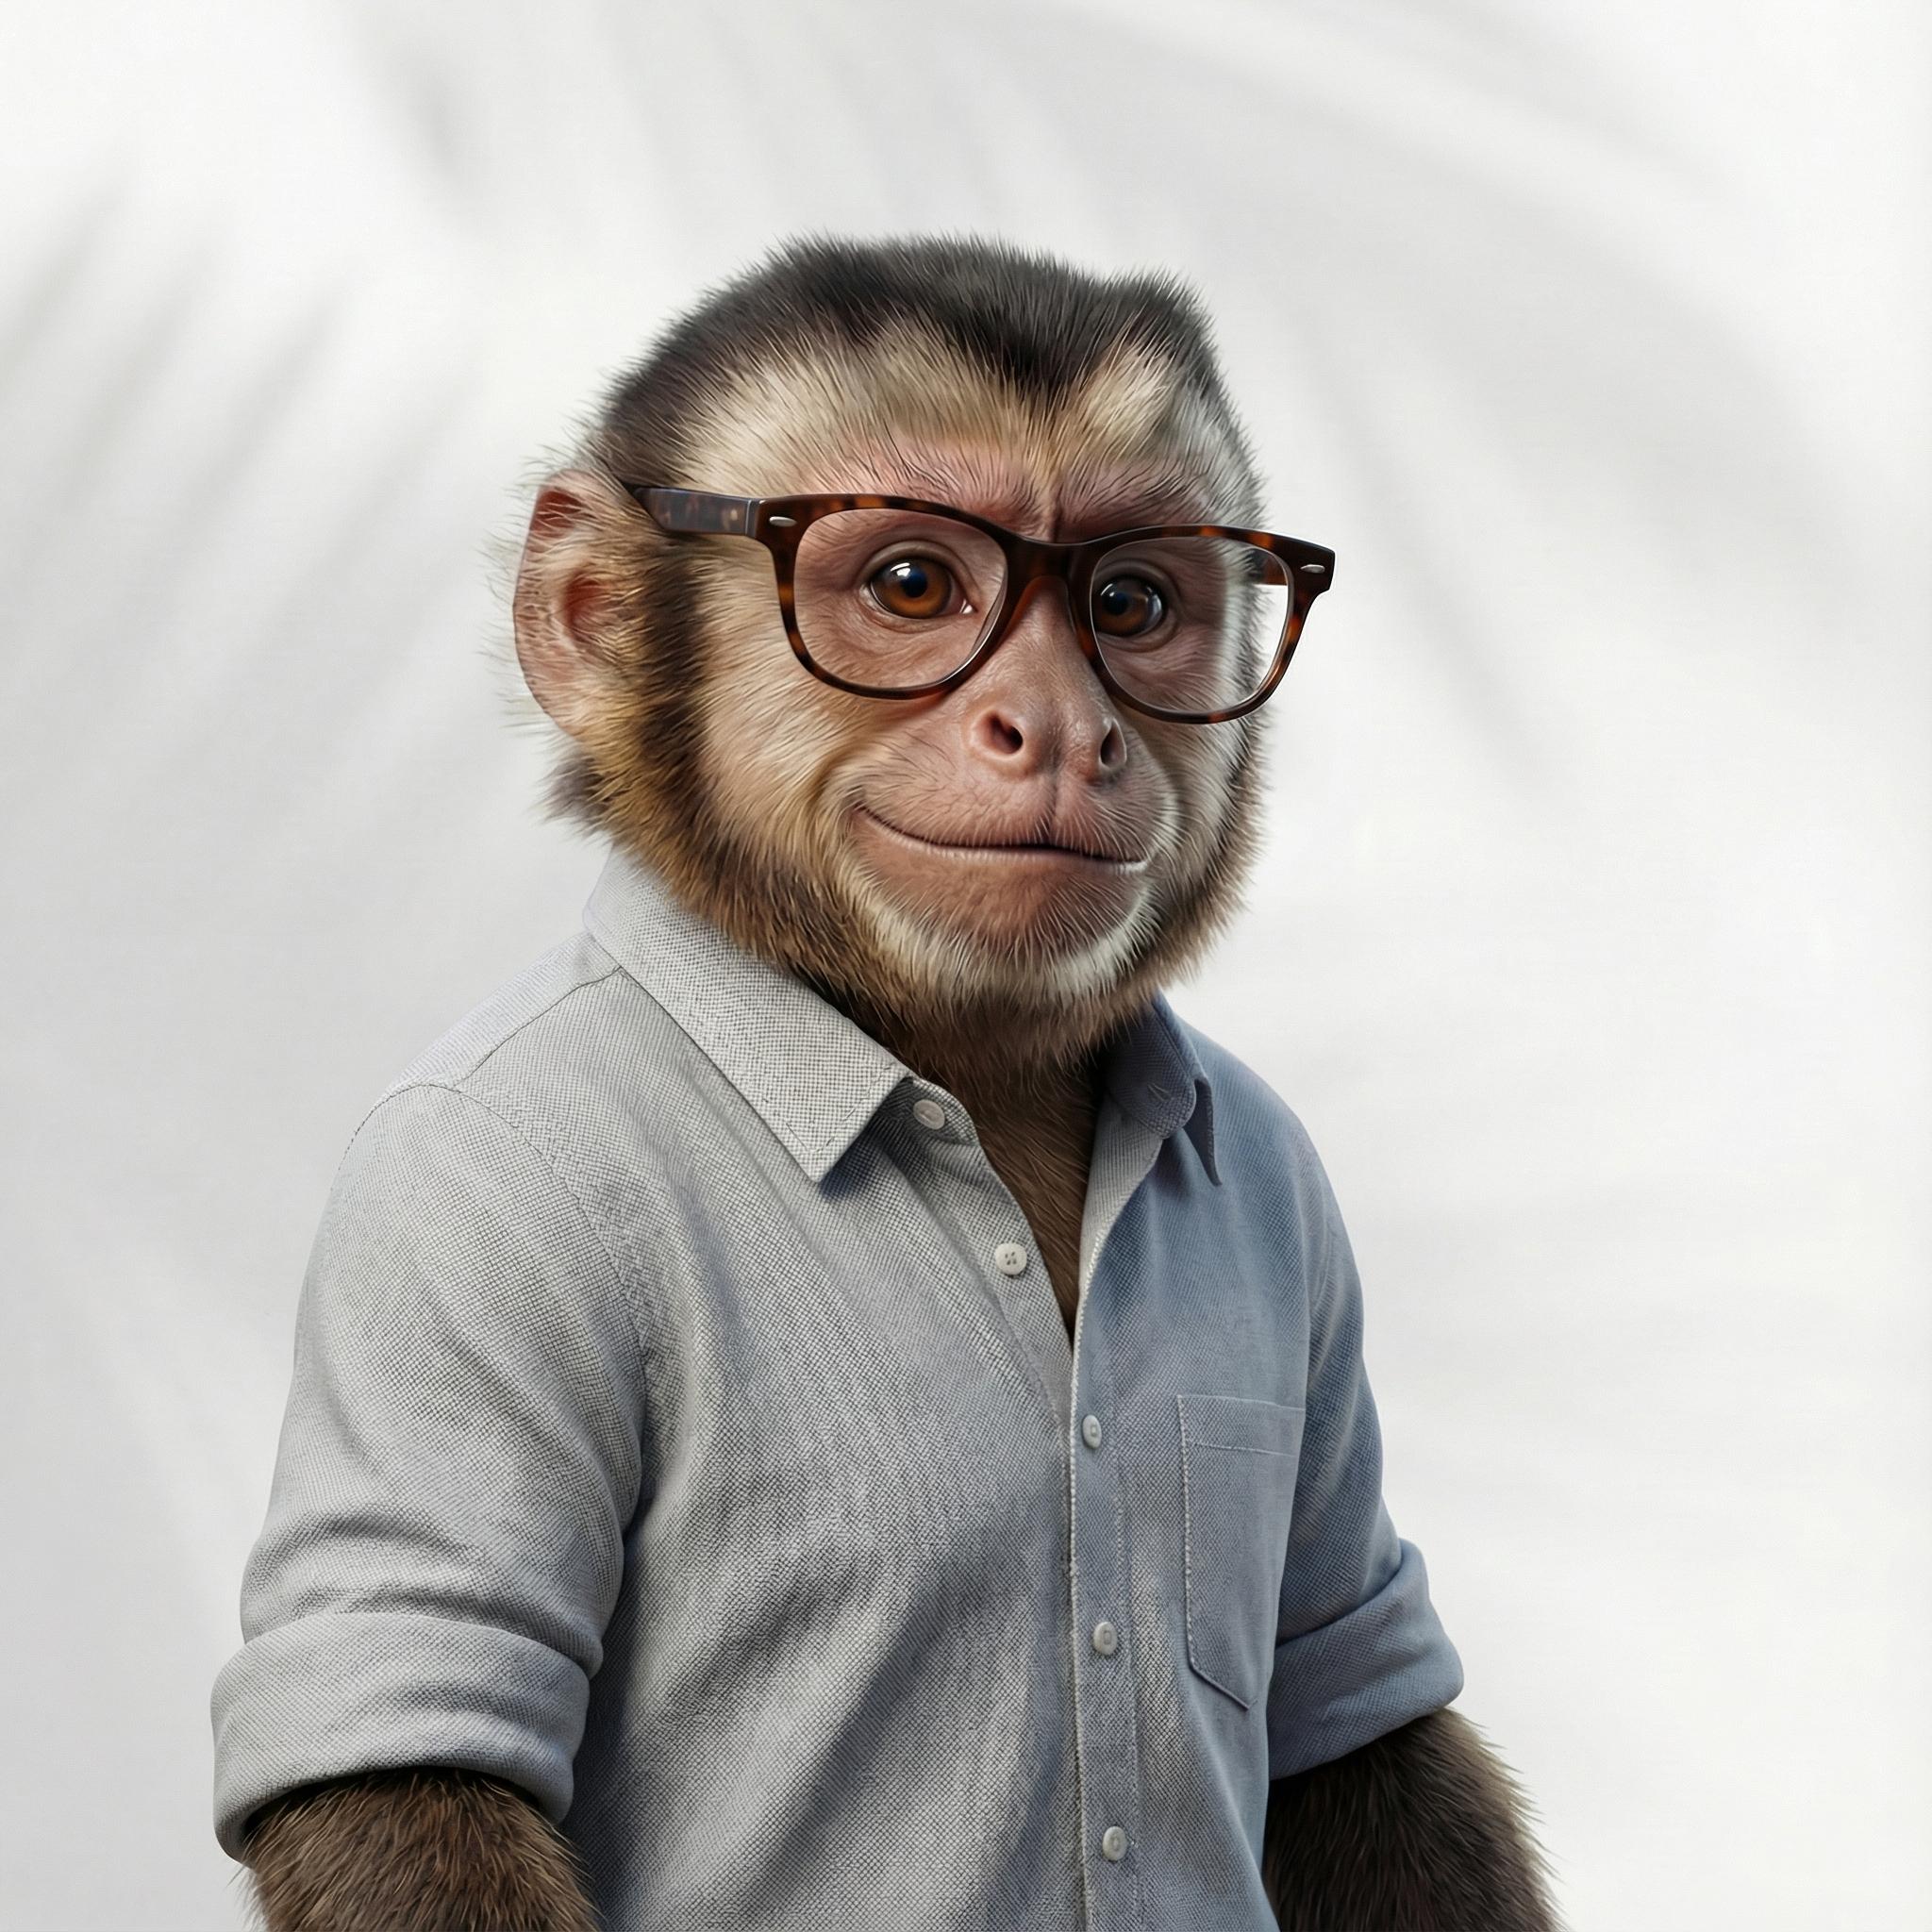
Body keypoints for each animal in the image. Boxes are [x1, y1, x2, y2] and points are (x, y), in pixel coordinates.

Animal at [215, 235, 1560, 1932]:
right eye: (914, 585)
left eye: (1131, 601)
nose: (1059, 726)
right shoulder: (461, 1192)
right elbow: (418, 1763)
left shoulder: (1285, 1175)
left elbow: (1351, 1702)